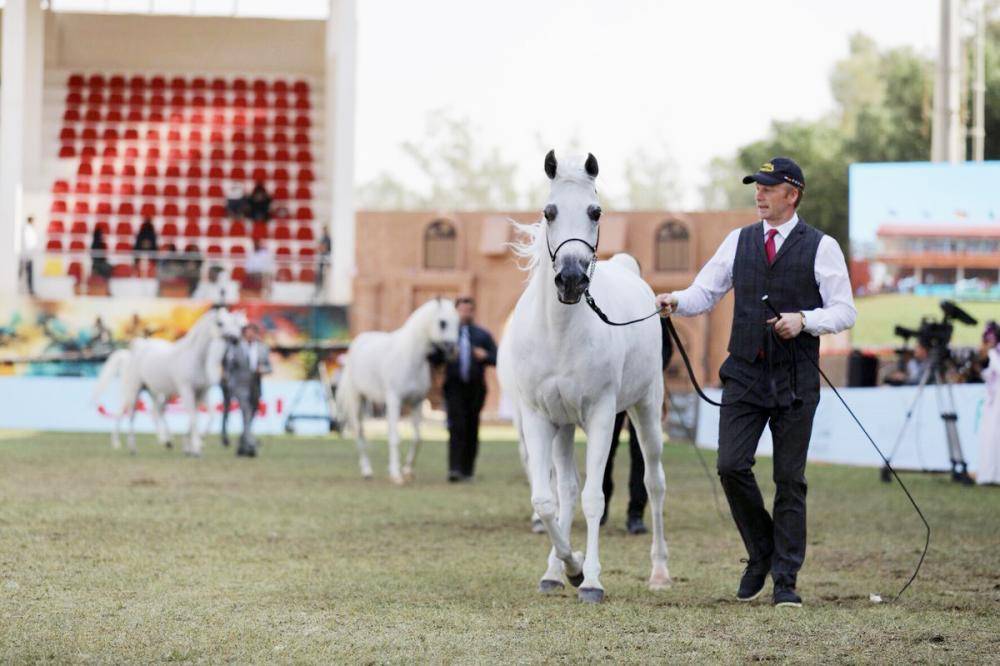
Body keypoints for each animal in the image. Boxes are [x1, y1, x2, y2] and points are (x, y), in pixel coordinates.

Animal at [94, 308, 244, 454]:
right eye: (220, 323)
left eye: (233, 322)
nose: (235, 339)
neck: (196, 358)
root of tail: (135, 348)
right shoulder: (186, 390)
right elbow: (194, 417)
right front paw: (195, 446)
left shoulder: (202, 392)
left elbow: (204, 416)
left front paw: (194, 443)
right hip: (133, 391)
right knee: (128, 415)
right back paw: (129, 446)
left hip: (156, 392)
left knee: (157, 412)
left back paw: (166, 441)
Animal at [336, 300, 460, 482]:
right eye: (442, 322)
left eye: (458, 322)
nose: (454, 351)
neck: (410, 358)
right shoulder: (395, 400)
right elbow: (395, 438)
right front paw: (396, 475)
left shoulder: (417, 402)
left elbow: (417, 438)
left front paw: (407, 469)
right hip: (357, 400)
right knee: (360, 433)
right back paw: (367, 471)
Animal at [500, 150, 672, 600]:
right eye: (549, 211)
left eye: (596, 212)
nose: (572, 279)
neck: (560, 334)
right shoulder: (540, 417)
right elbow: (548, 501)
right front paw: (568, 567)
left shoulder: (600, 415)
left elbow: (595, 499)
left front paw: (591, 579)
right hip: (563, 427)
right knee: (565, 491)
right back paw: (556, 570)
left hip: (645, 410)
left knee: (654, 483)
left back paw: (660, 572)